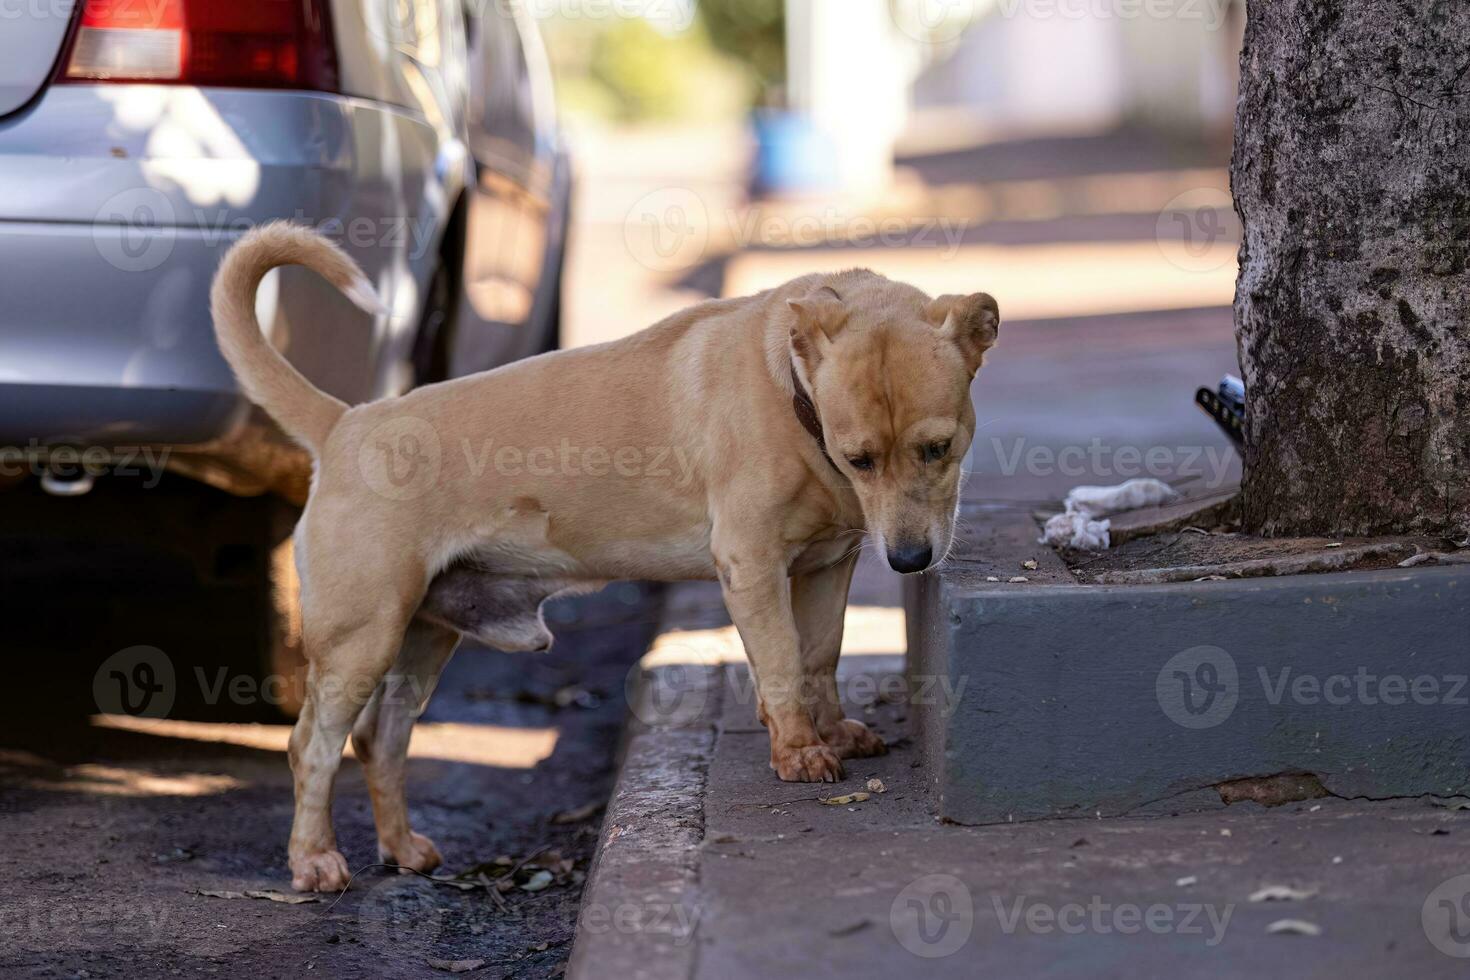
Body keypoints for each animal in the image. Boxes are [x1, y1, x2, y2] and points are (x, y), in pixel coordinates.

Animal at [210, 220, 999, 887]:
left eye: (938, 448)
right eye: (858, 458)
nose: (910, 561)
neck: (792, 388)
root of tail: (345, 424)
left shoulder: (829, 567)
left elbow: (820, 657)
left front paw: (831, 731)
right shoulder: (752, 567)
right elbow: (780, 667)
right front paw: (800, 750)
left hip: (424, 638)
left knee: (382, 740)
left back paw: (401, 847)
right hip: (361, 640)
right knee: (312, 748)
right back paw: (314, 859)